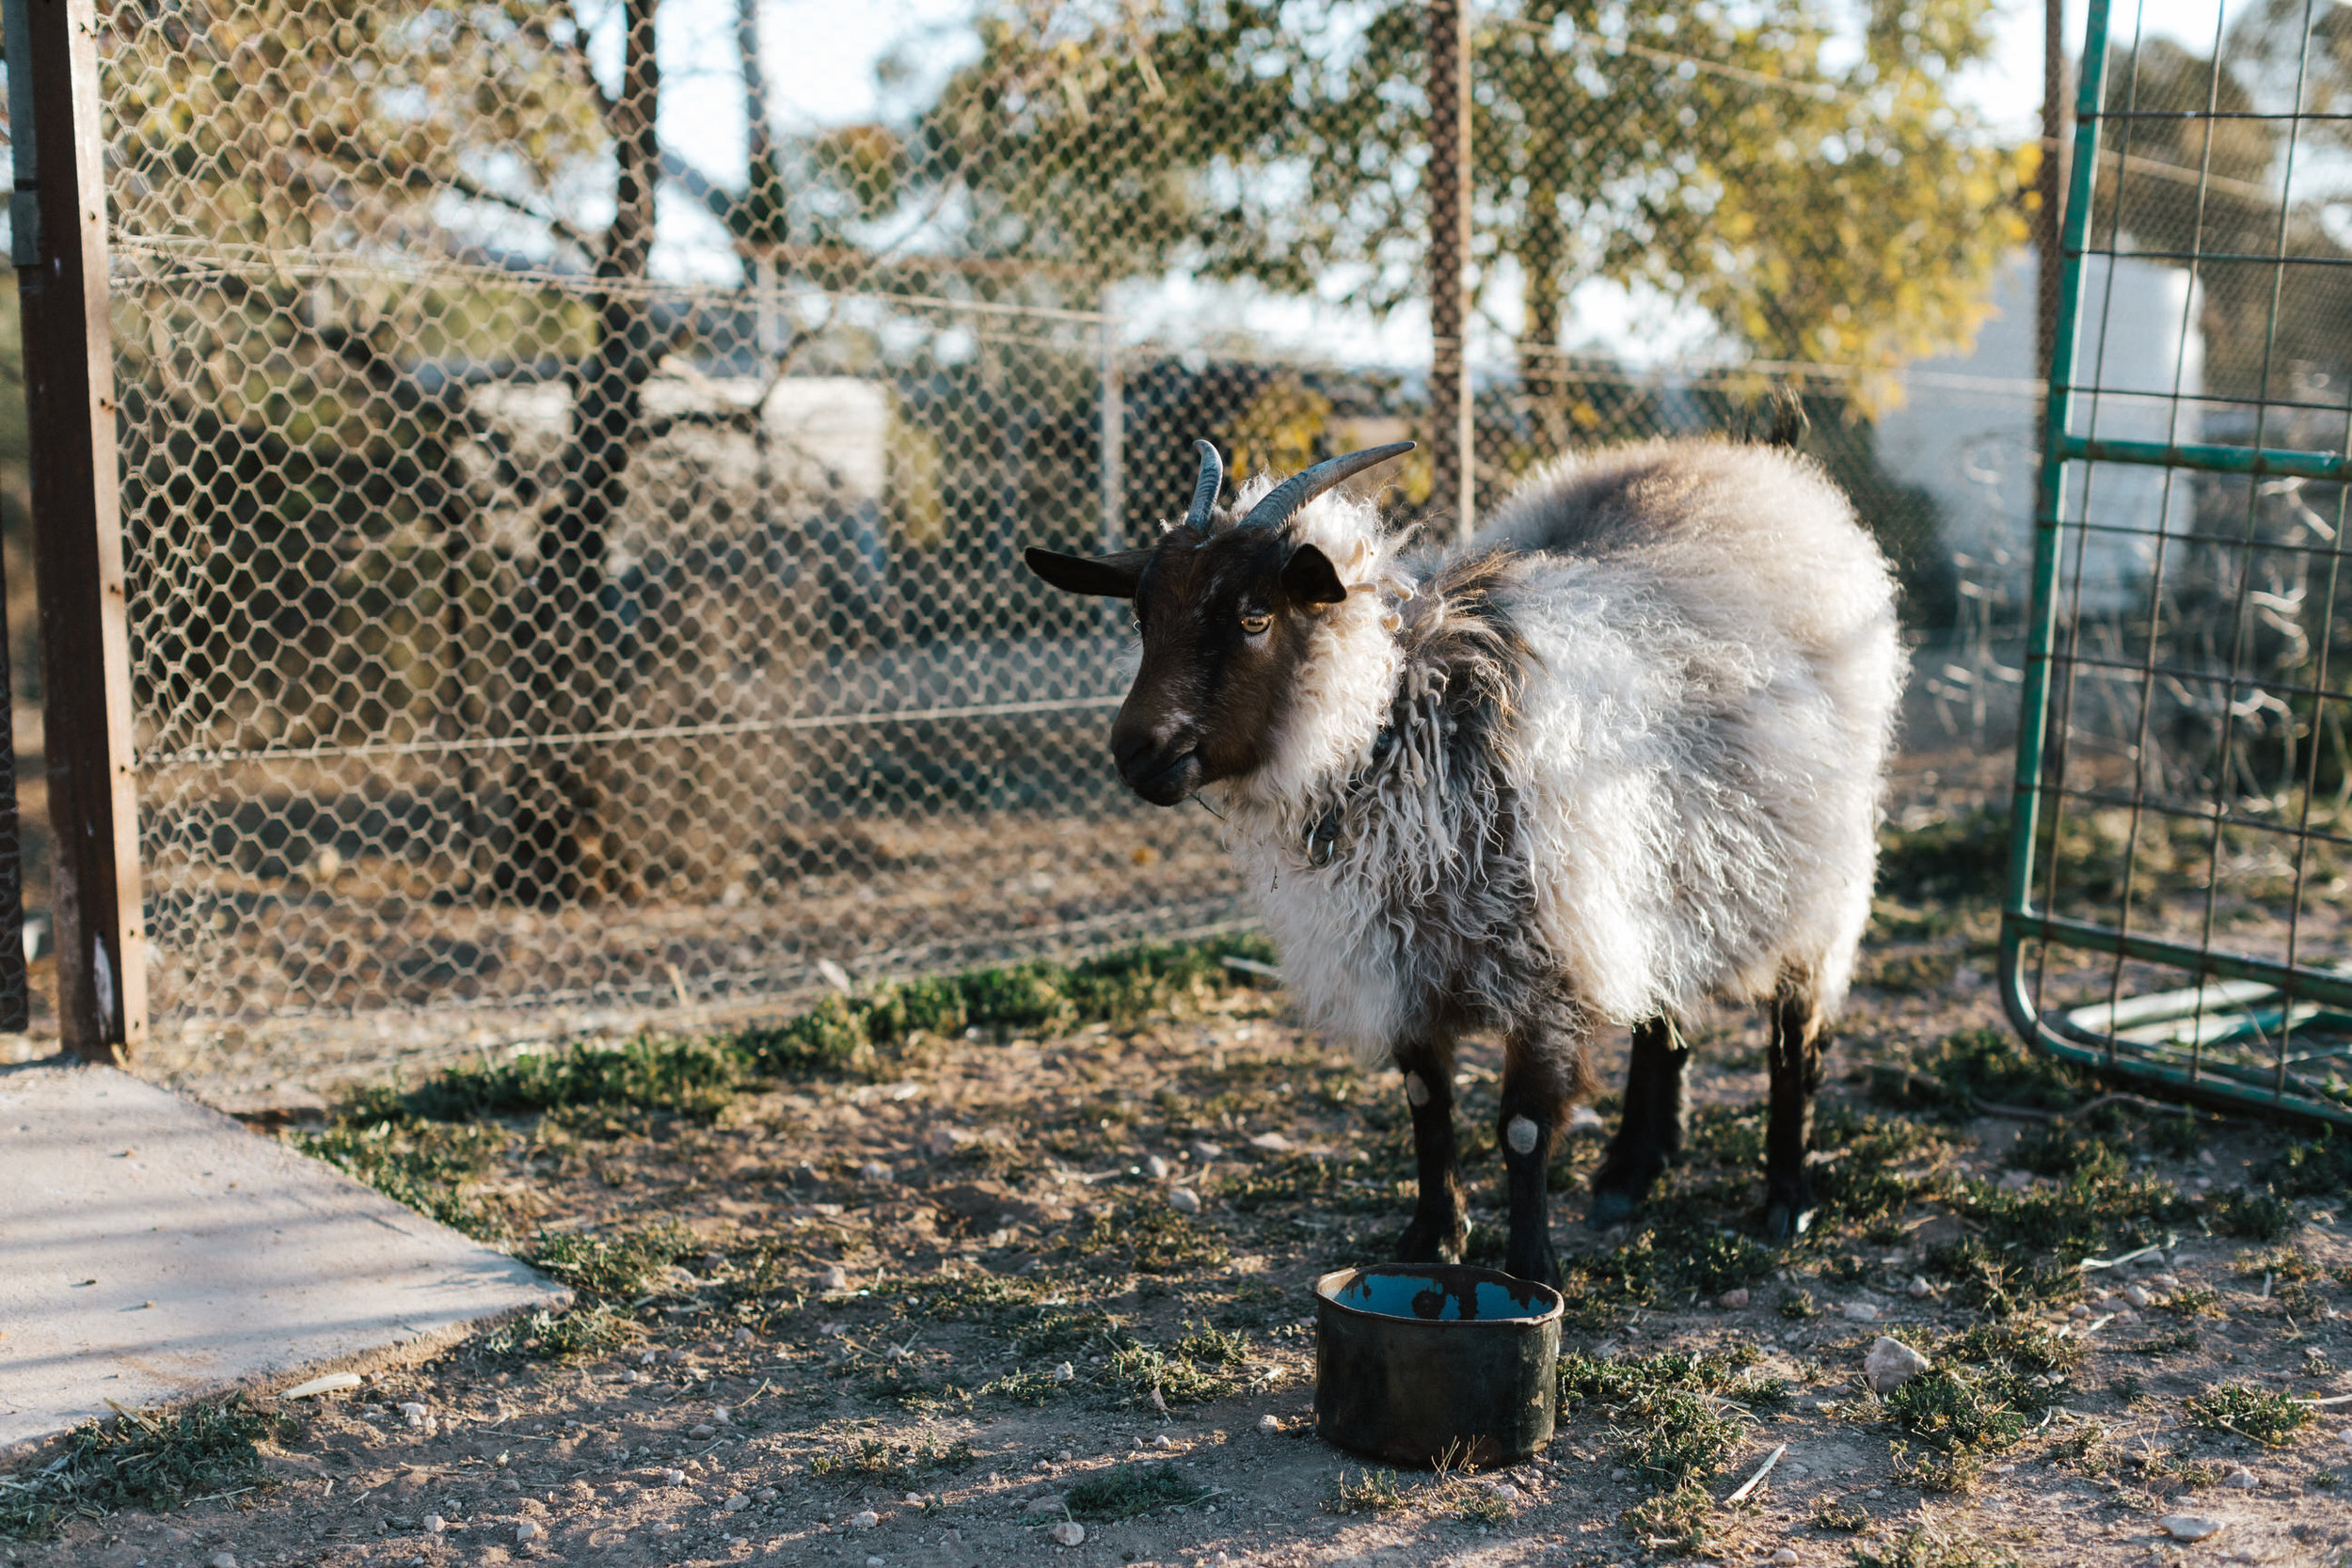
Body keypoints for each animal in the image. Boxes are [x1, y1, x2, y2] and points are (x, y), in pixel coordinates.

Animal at [1021, 432, 1900, 1288]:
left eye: (1253, 616)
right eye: (1143, 615)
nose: (1137, 752)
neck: (1400, 721)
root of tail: (1747, 464)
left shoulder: (1545, 969)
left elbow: (1522, 1129)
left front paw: (1530, 1267)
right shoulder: (1404, 961)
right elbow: (1426, 1104)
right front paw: (1431, 1238)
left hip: (1813, 885)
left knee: (1795, 1041)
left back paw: (1786, 1197)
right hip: (1668, 881)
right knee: (1663, 1018)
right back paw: (1630, 1172)